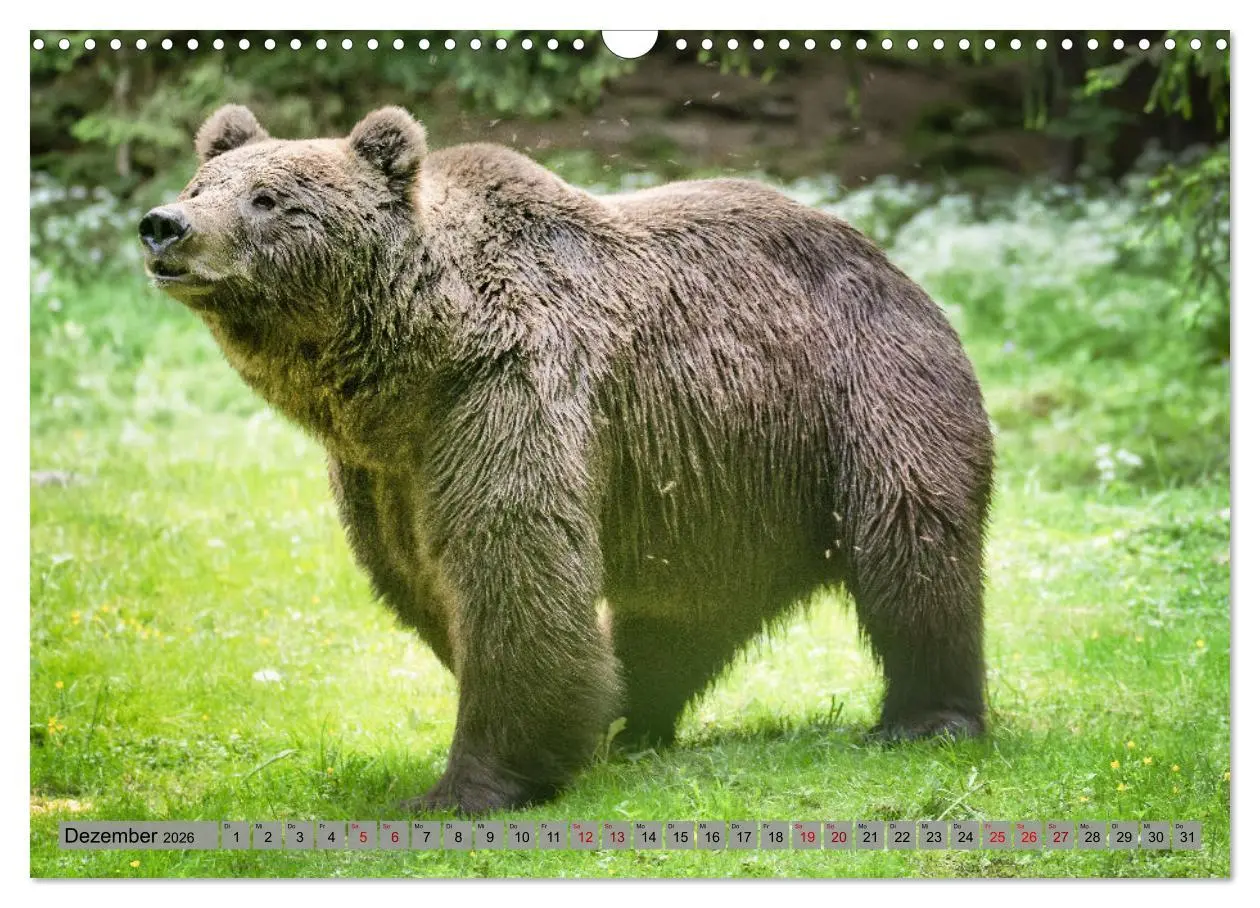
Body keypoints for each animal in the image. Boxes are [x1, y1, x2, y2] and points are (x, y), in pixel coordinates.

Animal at [139, 105, 994, 815]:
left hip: (863, 397)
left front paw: (468, 786)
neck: (414, 364)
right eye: (200, 182)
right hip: (728, 484)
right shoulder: (386, 469)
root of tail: (898, 268)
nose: (164, 226)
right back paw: (634, 721)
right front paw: (564, 725)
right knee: (684, 614)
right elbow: (419, 577)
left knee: (912, 552)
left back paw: (928, 718)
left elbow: (512, 561)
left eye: (267, 198)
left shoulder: (508, 390)